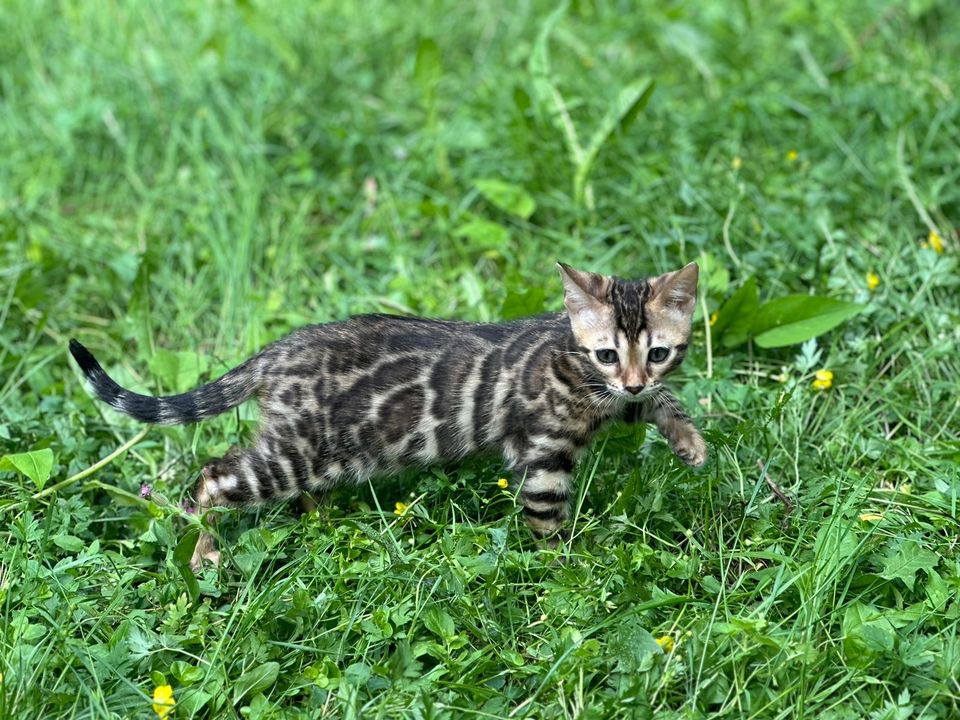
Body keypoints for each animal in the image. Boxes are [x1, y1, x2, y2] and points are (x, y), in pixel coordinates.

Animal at [71, 262, 704, 568]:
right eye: (606, 353)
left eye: (657, 353)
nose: (631, 378)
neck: (571, 356)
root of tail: (279, 350)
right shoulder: (544, 453)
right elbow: (548, 524)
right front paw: (568, 573)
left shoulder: (619, 400)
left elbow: (655, 402)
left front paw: (687, 438)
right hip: (293, 455)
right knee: (210, 476)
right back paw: (203, 552)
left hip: (322, 456)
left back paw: (325, 525)